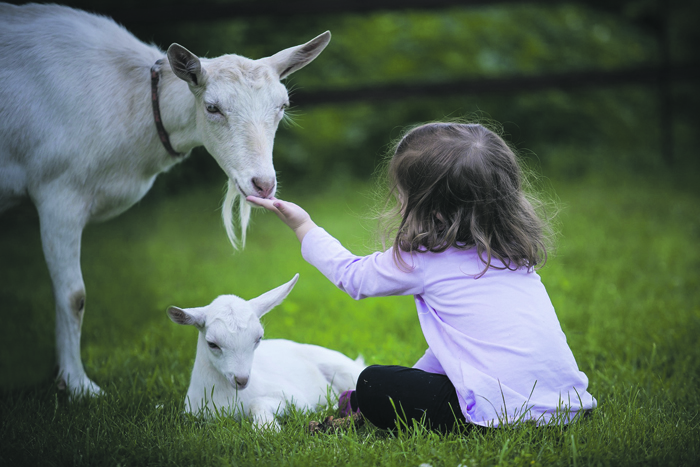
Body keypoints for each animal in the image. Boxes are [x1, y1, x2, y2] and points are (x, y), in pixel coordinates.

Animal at [0, 3, 330, 398]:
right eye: (212, 107)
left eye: (282, 105)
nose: (263, 184)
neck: (131, 103)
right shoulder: (58, 190)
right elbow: (73, 295)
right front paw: (78, 385)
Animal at [166, 274, 364, 432]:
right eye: (212, 344)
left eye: (258, 338)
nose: (242, 380)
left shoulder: (297, 399)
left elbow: (257, 402)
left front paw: (266, 428)